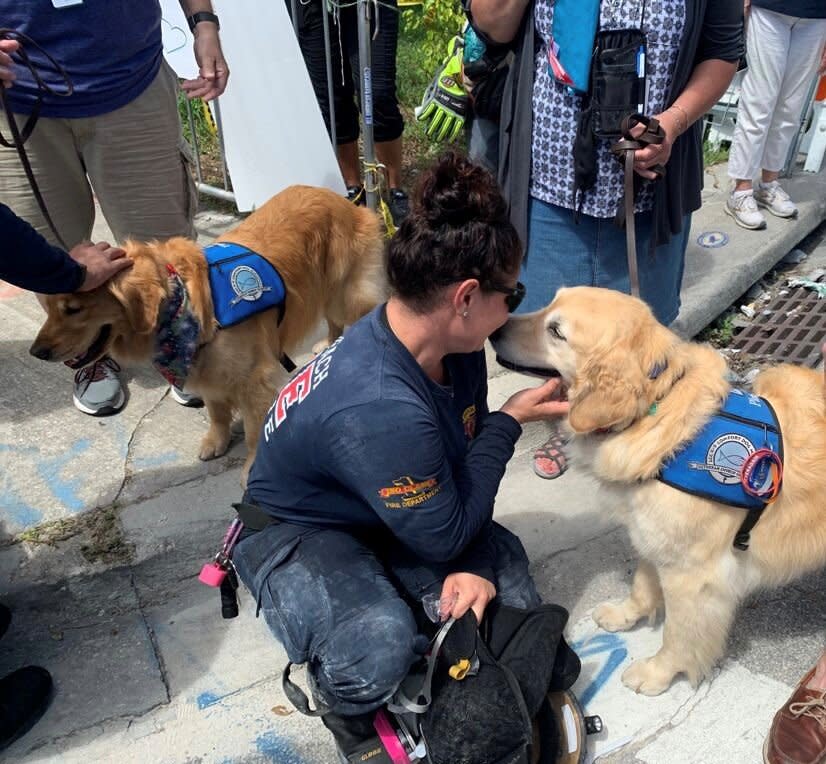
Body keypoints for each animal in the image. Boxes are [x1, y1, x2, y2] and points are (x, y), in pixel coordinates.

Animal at [29, 186, 384, 484]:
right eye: (48, 307)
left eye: (73, 309)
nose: (37, 352)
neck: (177, 306)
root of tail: (340, 197)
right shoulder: (206, 368)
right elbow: (216, 411)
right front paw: (217, 440)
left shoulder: (254, 379)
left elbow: (254, 432)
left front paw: (251, 467)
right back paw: (329, 343)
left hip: (345, 293)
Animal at [490, 288, 824, 700]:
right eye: (549, 302)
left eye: (556, 331)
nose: (493, 329)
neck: (654, 411)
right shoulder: (654, 538)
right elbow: (642, 583)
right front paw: (625, 614)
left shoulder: (693, 575)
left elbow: (678, 634)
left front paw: (659, 672)